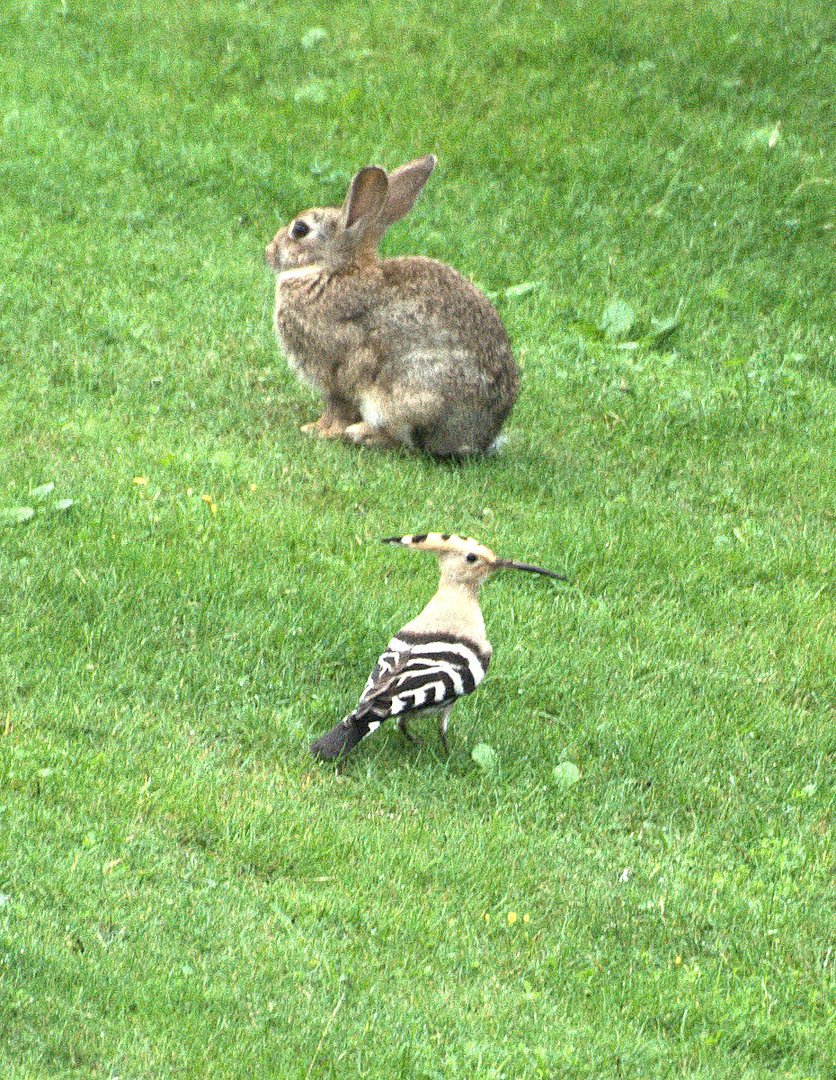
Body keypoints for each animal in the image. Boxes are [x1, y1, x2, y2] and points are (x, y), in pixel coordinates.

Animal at [265, 154, 520, 453]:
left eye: (300, 229)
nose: (268, 252)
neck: (333, 271)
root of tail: (478, 439)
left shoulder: (339, 370)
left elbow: (338, 407)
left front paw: (319, 431)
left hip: (408, 394)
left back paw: (362, 434)